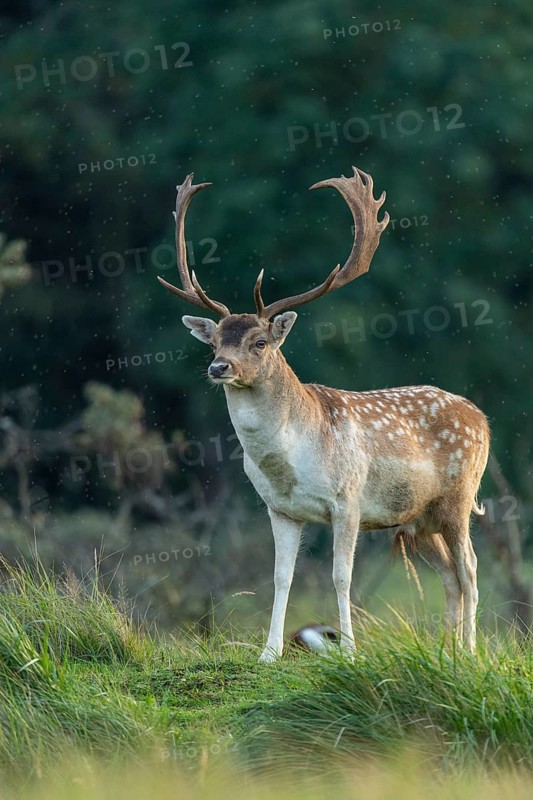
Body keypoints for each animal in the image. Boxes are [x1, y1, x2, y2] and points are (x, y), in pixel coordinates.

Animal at [157, 167, 490, 662]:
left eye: (260, 341)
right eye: (214, 341)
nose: (219, 367)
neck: (291, 463)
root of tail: (482, 418)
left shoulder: (347, 498)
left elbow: (341, 576)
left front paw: (350, 651)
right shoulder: (279, 508)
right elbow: (281, 576)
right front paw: (269, 652)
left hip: (459, 496)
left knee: (469, 566)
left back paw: (468, 651)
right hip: (417, 517)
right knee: (450, 574)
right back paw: (445, 651)